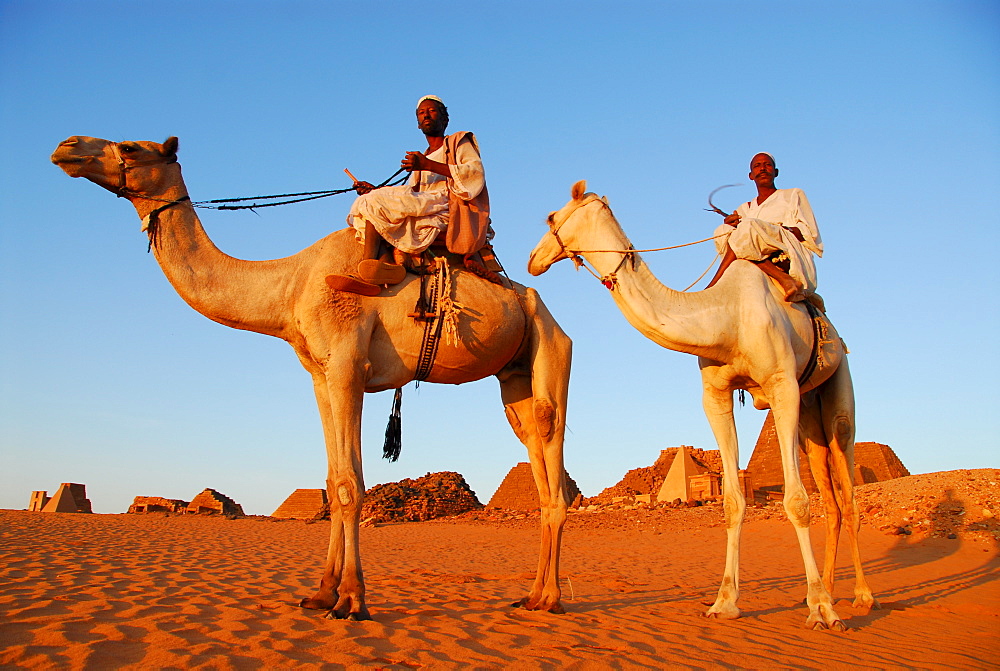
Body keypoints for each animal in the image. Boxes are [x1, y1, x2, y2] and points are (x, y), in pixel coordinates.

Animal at [52, 135, 572, 620]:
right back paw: (533, 596)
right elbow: (333, 476)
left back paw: (549, 598)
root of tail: (538, 304)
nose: (66, 147)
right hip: (513, 377)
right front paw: (322, 593)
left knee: (550, 441)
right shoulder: (322, 377)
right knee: (536, 449)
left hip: (551, 346)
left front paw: (352, 600)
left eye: (129, 147)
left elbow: (348, 485)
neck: (290, 286)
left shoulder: (347, 369)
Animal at [528, 182, 880, 632]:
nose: (533, 259)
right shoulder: (715, 395)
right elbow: (732, 502)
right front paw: (725, 602)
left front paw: (820, 610)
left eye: (551, 217)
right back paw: (830, 590)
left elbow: (796, 501)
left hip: (837, 390)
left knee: (847, 487)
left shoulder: (781, 386)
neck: (726, 319)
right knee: (830, 497)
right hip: (808, 413)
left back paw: (858, 597)